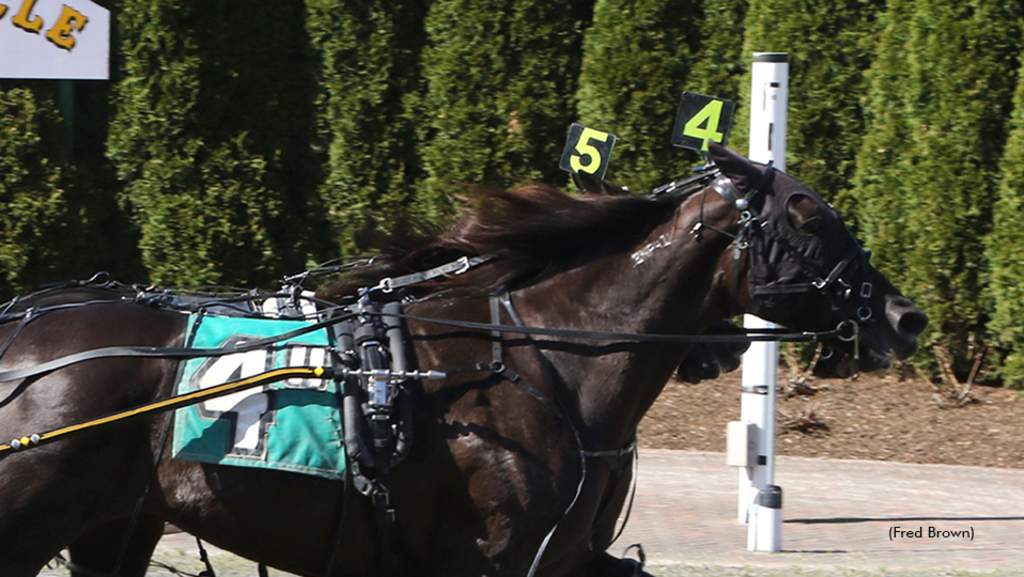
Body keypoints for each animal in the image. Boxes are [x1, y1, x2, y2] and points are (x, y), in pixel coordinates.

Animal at [0, 141, 929, 577]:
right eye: (808, 213)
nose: (905, 315)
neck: (548, 359)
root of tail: (21, 332)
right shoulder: (492, 553)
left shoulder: (563, 556)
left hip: (115, 524)